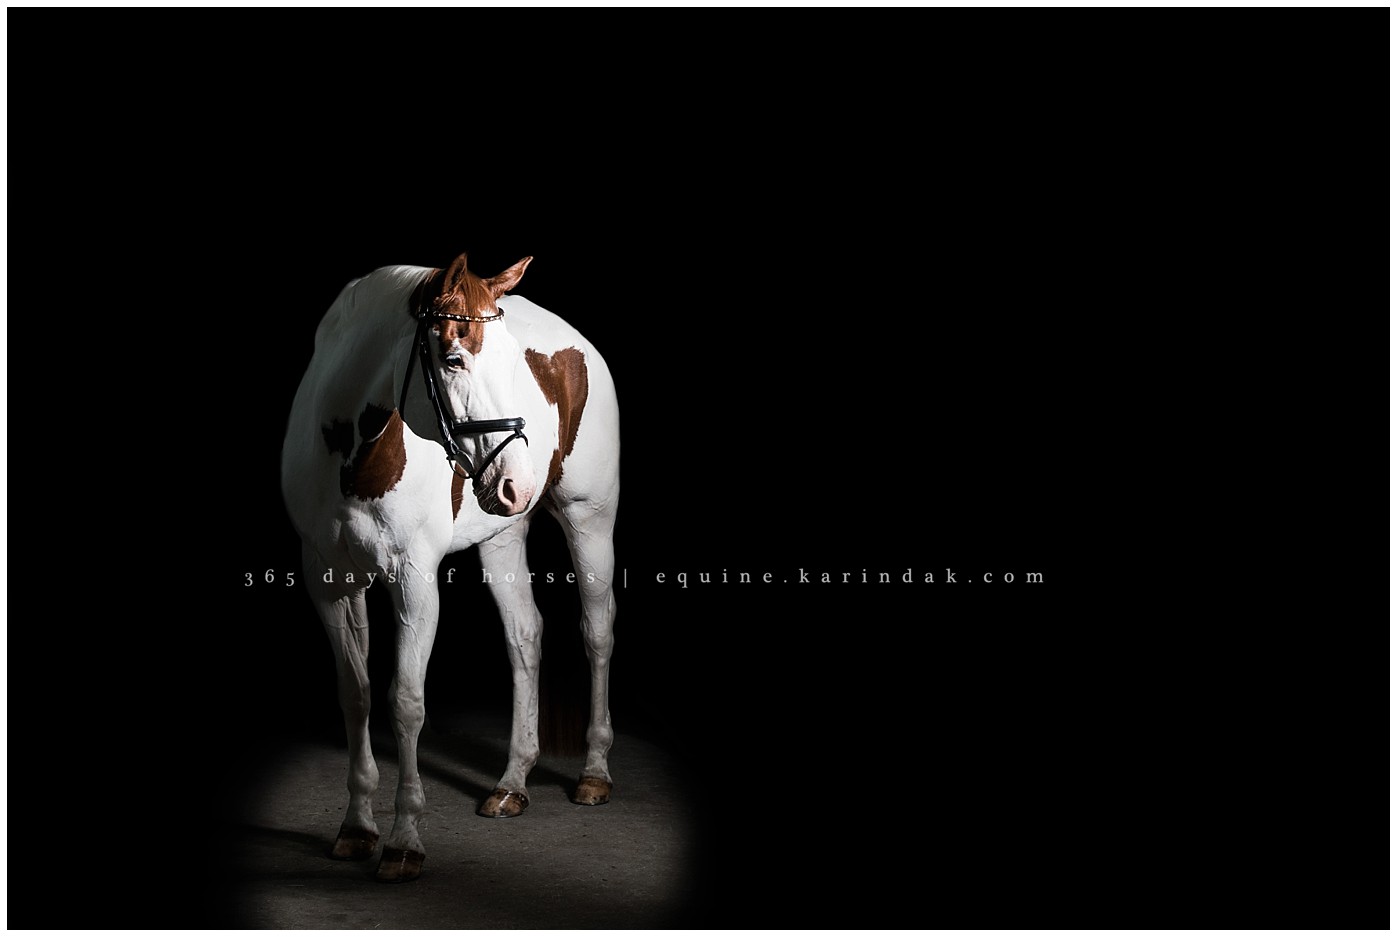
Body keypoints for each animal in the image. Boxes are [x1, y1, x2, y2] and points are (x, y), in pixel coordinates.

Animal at [280, 253, 620, 883]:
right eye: (454, 358)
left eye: (512, 361)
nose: (519, 483)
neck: (356, 454)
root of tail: (578, 340)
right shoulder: (328, 581)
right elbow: (355, 695)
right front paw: (355, 828)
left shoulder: (414, 582)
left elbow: (406, 703)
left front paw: (404, 841)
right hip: (503, 536)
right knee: (524, 635)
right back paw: (512, 783)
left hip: (590, 518)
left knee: (597, 633)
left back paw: (593, 774)